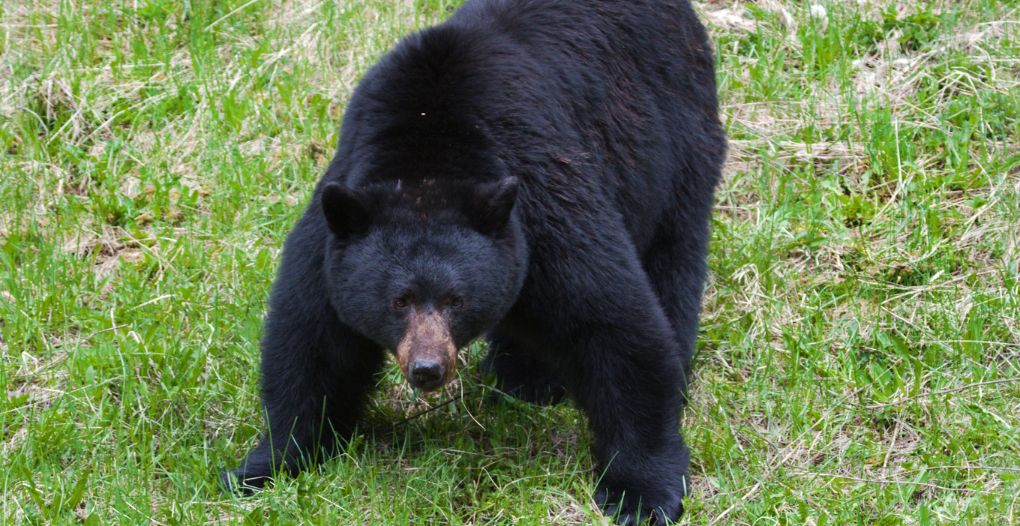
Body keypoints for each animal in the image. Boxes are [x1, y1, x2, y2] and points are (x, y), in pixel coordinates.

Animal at [225, 1, 726, 521]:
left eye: (455, 300)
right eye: (398, 301)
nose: (427, 368)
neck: (428, 154)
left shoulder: (544, 202)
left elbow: (612, 323)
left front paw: (640, 493)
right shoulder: (335, 231)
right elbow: (312, 343)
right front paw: (266, 467)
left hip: (678, 139)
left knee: (673, 256)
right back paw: (522, 378)